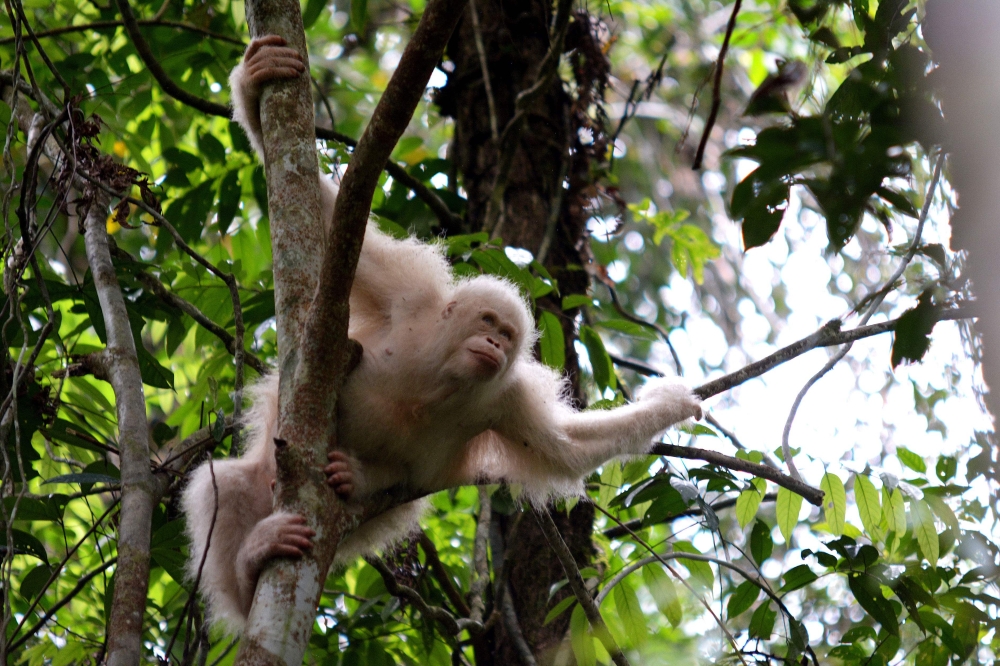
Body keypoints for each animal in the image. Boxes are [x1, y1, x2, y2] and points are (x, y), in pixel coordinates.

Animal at [180, 35, 703, 634]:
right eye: (488, 324)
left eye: (507, 336)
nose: (495, 345)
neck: (438, 371)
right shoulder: (409, 293)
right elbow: (338, 225)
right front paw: (254, 85)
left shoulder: (507, 399)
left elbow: (568, 447)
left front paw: (670, 407)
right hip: (269, 482)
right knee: (223, 485)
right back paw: (249, 575)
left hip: (353, 531)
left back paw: (349, 484)